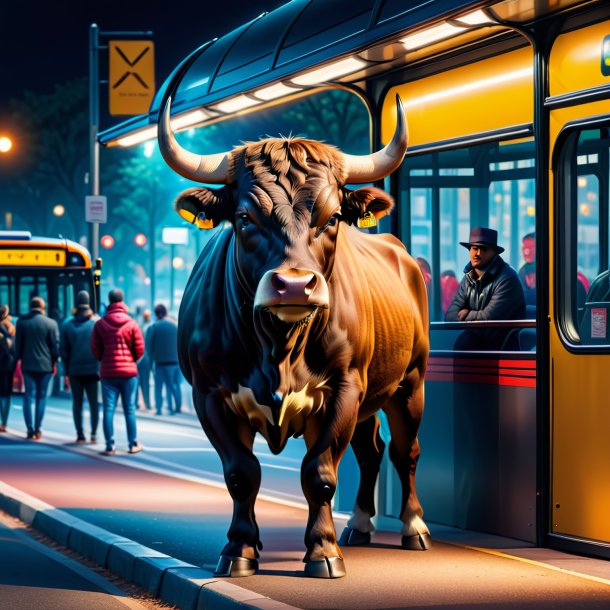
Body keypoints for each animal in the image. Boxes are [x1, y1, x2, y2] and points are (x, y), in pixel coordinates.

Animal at [157, 92, 428, 576]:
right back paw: (359, 524)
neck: (278, 349)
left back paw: (413, 527)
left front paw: (322, 551)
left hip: (410, 383)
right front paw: (239, 549)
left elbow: (319, 474)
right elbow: (241, 473)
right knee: (371, 451)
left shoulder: (343, 389)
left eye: (334, 216)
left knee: (404, 451)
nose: (295, 285)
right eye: (244, 218)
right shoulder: (209, 395)